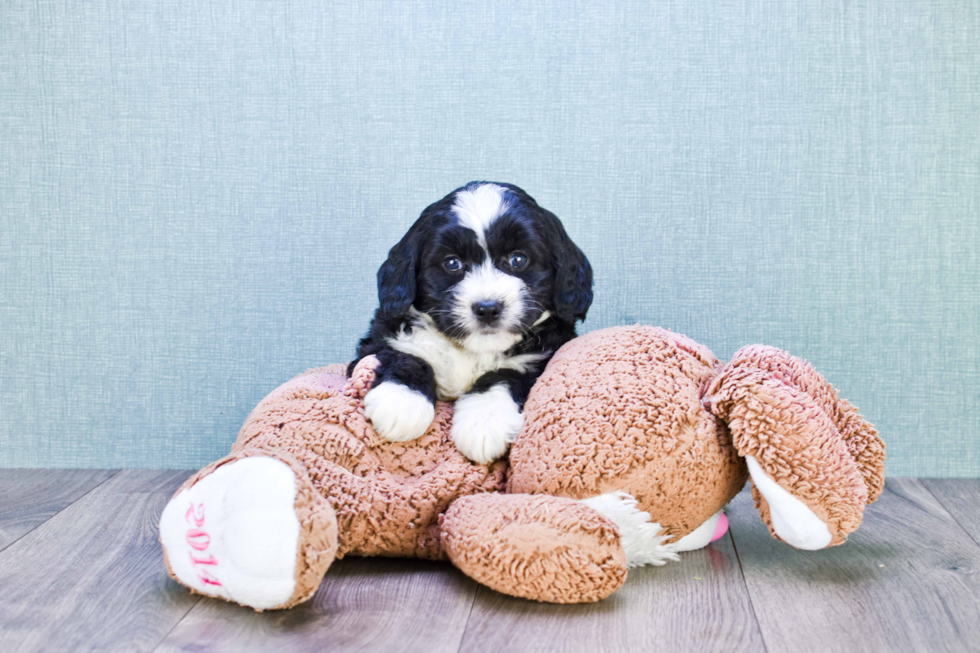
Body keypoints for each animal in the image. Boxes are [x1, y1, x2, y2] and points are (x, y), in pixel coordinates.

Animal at [352, 181, 596, 460]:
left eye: (518, 259)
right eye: (452, 263)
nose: (488, 308)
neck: (472, 351)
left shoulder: (544, 356)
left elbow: (505, 376)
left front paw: (484, 421)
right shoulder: (381, 337)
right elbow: (406, 356)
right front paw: (402, 401)